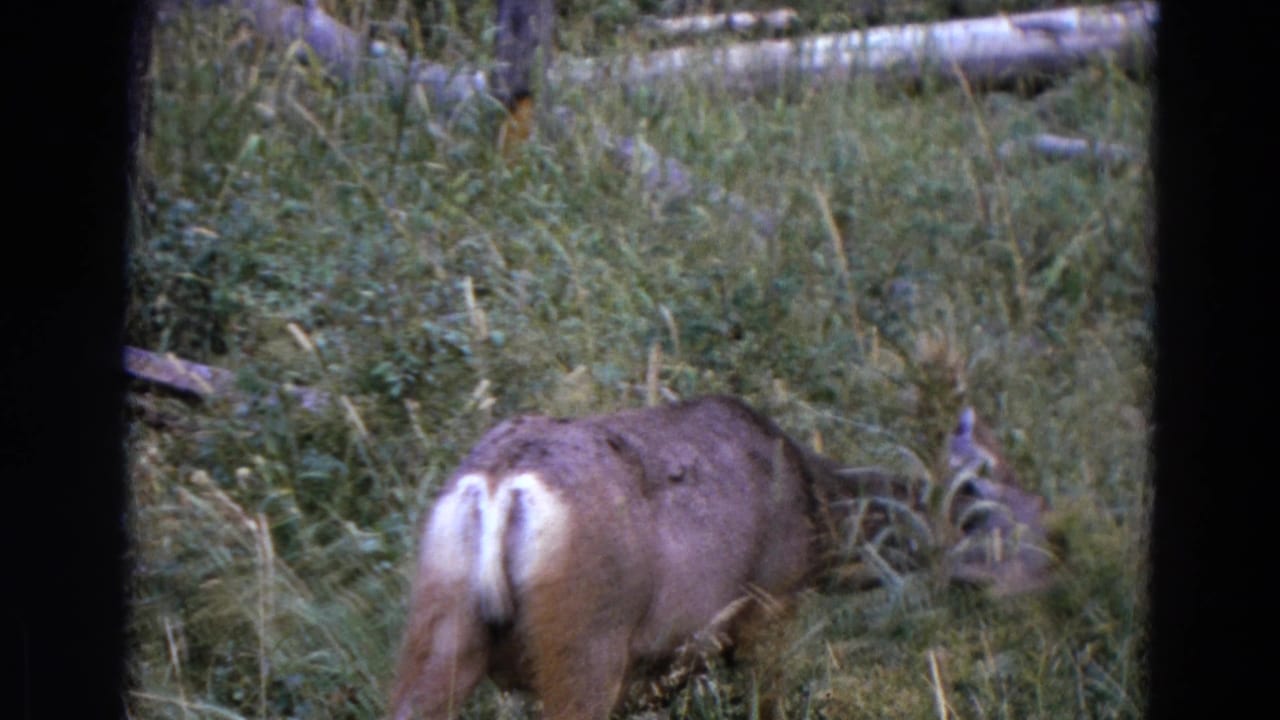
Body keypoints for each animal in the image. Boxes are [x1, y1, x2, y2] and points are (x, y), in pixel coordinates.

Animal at [390, 395, 1050, 719]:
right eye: (1012, 504)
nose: (1057, 562)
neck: (817, 515)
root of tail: (498, 485)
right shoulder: (768, 608)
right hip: (584, 640)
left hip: (441, 623)